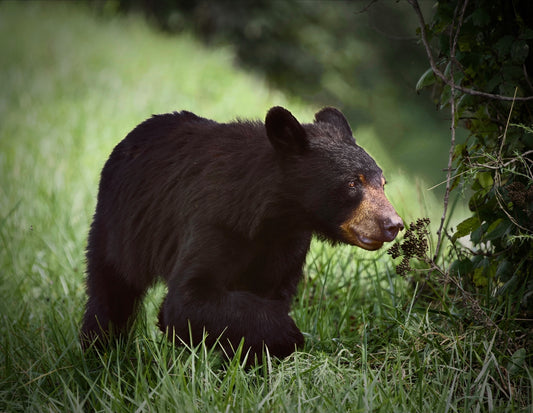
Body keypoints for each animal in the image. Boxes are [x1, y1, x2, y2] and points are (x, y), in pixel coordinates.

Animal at [81, 106, 402, 360]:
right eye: (352, 183)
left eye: (383, 183)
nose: (393, 224)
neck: (274, 217)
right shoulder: (214, 221)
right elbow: (188, 299)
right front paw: (288, 334)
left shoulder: (288, 244)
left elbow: (272, 293)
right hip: (120, 227)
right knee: (110, 291)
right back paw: (100, 351)